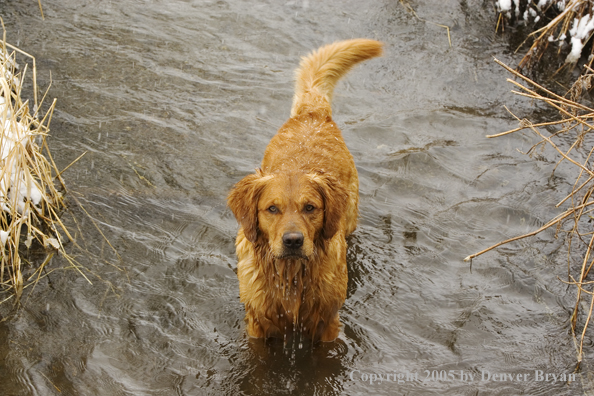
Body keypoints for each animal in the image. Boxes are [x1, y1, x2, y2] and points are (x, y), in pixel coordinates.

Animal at [224, 41, 382, 344]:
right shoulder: (257, 323)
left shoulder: (328, 322)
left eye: (310, 208)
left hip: (350, 219)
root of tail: (313, 112)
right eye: (272, 209)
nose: (293, 241)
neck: (291, 277)